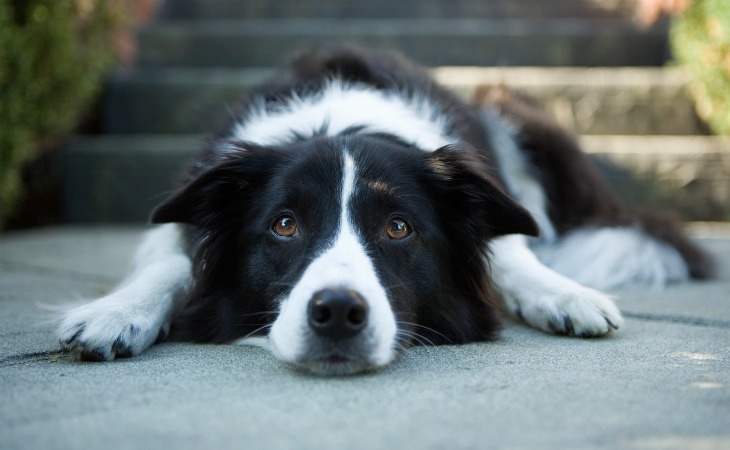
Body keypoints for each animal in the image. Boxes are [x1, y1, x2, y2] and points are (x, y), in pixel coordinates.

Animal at [59, 46, 712, 376]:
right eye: (284, 225)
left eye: (399, 228)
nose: (337, 313)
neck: (340, 120)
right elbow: (172, 261)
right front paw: (115, 314)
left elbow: (510, 252)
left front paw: (563, 294)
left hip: (511, 108)